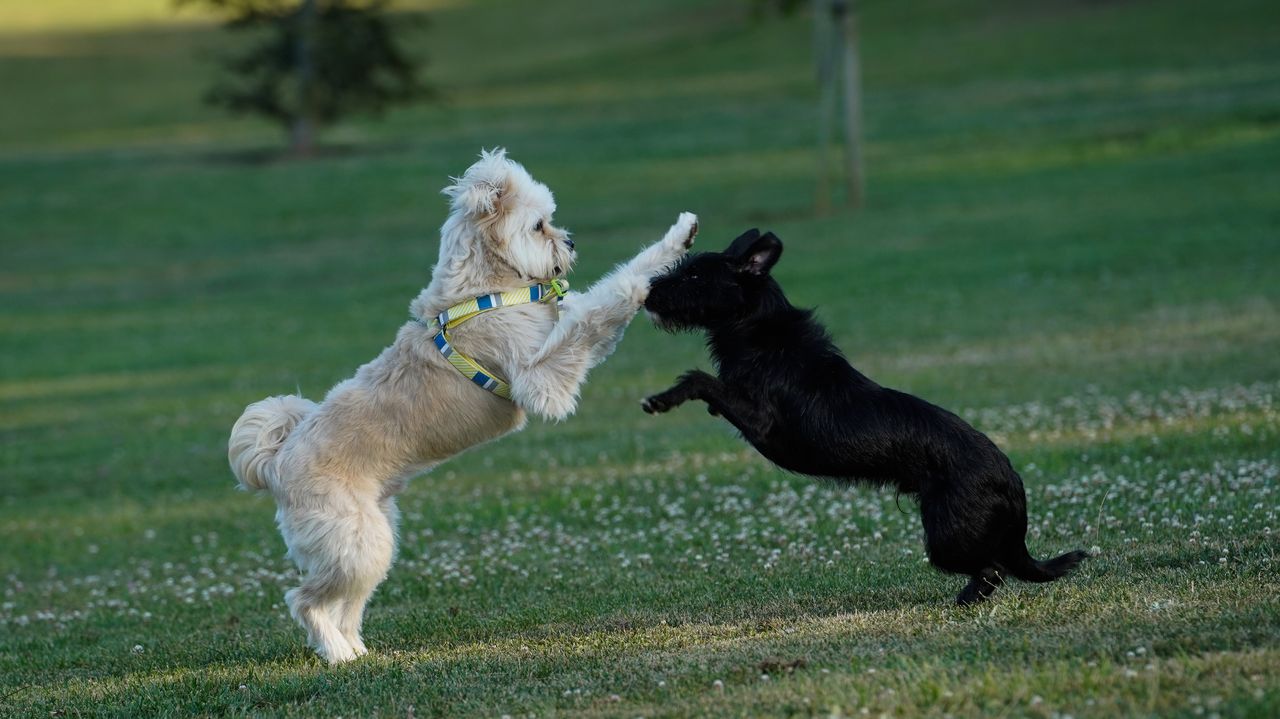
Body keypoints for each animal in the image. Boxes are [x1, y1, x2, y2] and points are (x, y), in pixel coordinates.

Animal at [225, 148, 696, 665]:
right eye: (539, 225)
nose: (570, 241)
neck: (487, 287)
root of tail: (275, 462)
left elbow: (603, 298)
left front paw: (678, 237)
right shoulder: (541, 379)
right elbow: (602, 305)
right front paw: (641, 286)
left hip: (372, 540)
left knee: (344, 604)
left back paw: (355, 651)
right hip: (352, 542)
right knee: (304, 600)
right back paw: (336, 653)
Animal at [645, 227, 1085, 598]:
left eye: (695, 277)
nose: (647, 294)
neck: (760, 330)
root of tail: (1012, 482)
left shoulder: (763, 424)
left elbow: (702, 379)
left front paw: (662, 399)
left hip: (947, 537)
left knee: (994, 568)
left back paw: (966, 598)